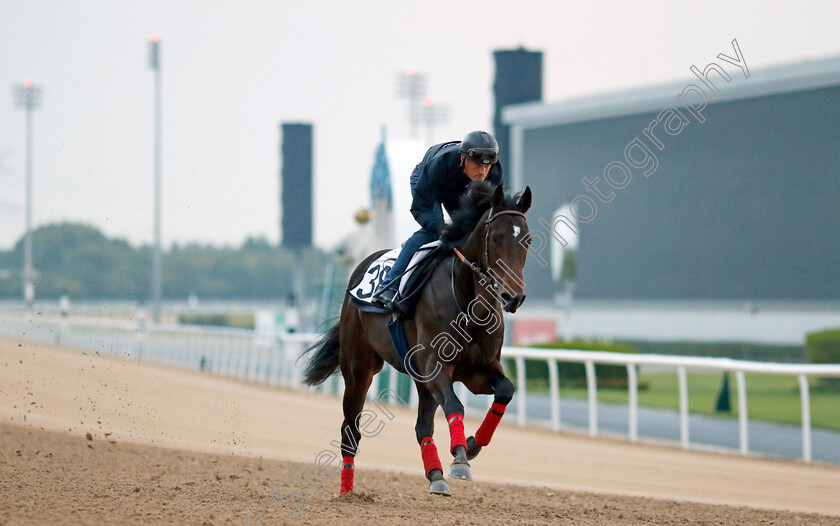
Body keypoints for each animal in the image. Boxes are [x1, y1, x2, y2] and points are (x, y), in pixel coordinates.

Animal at [302, 183, 532, 500]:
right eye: (496, 237)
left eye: (528, 240)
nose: (513, 297)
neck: (468, 304)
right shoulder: (436, 367)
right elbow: (455, 405)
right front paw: (460, 459)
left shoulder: (478, 371)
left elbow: (506, 391)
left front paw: (472, 445)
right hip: (358, 367)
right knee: (350, 431)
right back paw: (348, 491)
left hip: (419, 380)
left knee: (422, 426)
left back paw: (436, 476)